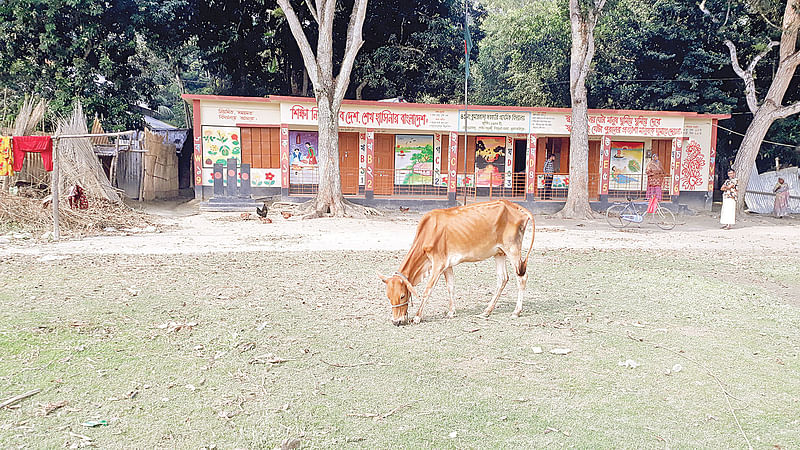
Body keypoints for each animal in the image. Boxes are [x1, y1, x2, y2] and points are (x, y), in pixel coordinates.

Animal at [378, 200, 536, 324]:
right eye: (388, 296)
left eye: (402, 295)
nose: (396, 321)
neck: (428, 231)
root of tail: (515, 206)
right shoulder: (447, 265)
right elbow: (451, 287)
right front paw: (451, 312)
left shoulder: (438, 264)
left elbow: (428, 290)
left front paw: (417, 317)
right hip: (499, 253)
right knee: (503, 279)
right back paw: (486, 311)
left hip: (512, 249)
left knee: (521, 277)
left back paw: (516, 311)